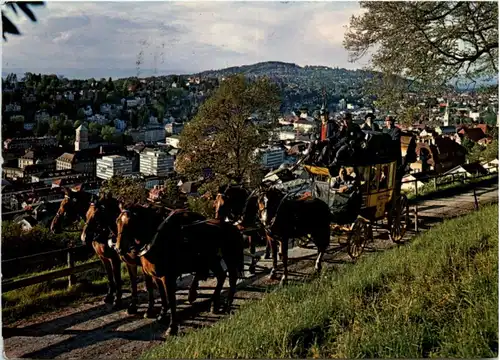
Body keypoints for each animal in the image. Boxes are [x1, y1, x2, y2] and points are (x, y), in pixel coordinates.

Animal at [115, 207, 244, 336]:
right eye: (117, 222)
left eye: (130, 223)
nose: (118, 248)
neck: (158, 240)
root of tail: (233, 227)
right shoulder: (156, 276)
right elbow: (162, 296)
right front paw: (161, 315)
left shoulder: (168, 277)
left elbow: (171, 300)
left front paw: (172, 327)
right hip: (212, 260)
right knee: (221, 276)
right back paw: (214, 304)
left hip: (229, 257)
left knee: (232, 279)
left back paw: (226, 305)